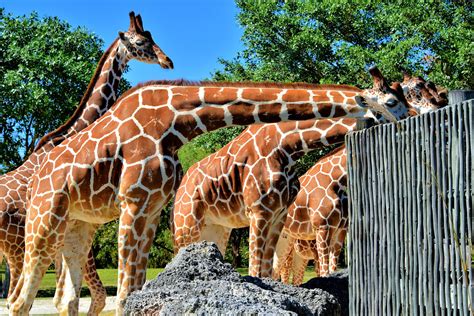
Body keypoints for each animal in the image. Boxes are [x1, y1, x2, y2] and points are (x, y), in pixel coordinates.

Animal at [0, 11, 173, 314]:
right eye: (141, 42)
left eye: (152, 36)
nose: (167, 61)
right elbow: (74, 297)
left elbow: (69, 297)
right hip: (17, 246)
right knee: (15, 299)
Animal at [6, 66, 408, 314]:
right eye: (392, 103)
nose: (412, 121)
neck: (174, 122)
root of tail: (37, 174)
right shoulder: (134, 203)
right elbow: (125, 297)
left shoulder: (152, 208)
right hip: (45, 219)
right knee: (18, 299)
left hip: (81, 225)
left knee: (65, 299)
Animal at [274, 75, 448, 286]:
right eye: (418, 87)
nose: (441, 100)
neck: (337, 179)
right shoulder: (322, 228)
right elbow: (324, 271)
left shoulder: (340, 232)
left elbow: (331, 270)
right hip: (286, 241)